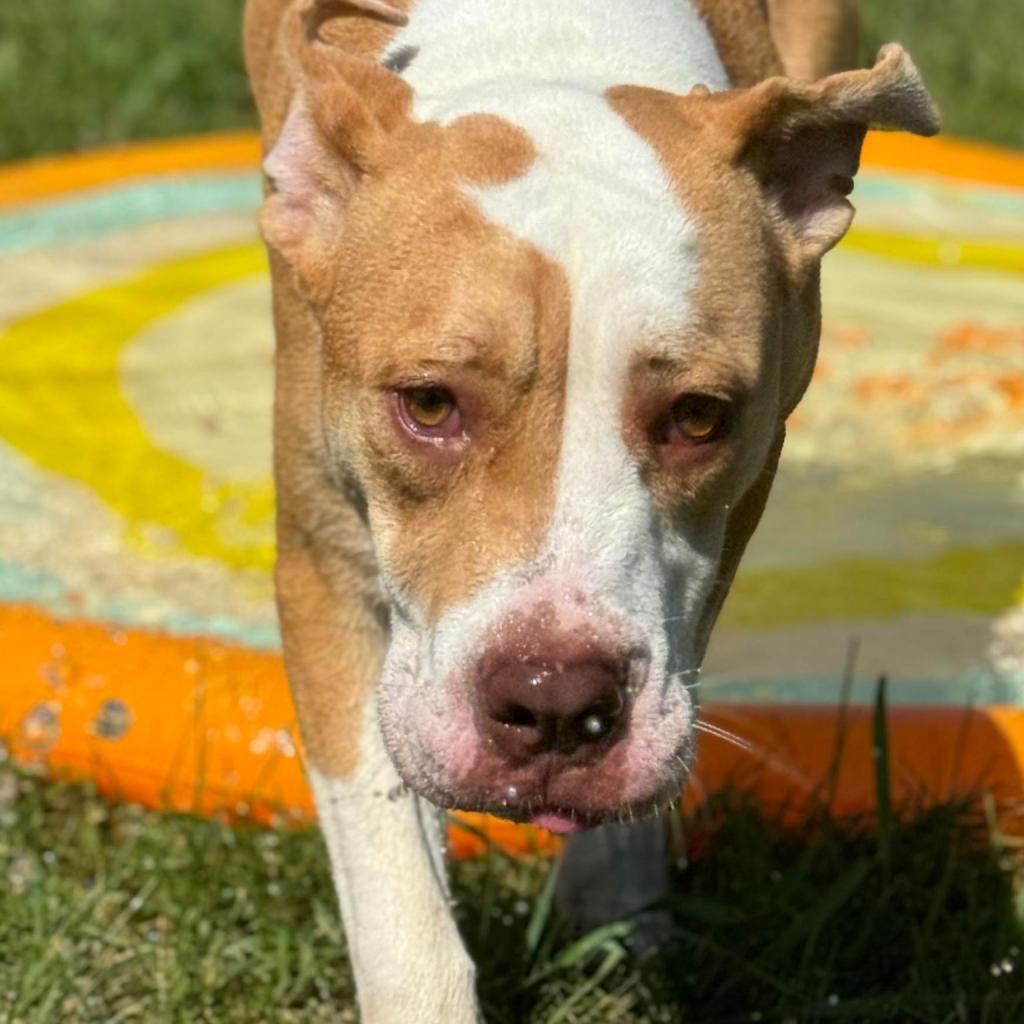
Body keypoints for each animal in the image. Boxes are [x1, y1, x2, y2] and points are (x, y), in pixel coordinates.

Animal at [241, 4, 937, 1019]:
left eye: (699, 417)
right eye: (429, 405)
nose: (556, 704)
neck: (551, 42)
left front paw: (617, 891)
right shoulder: (324, 569)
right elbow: (399, 893)